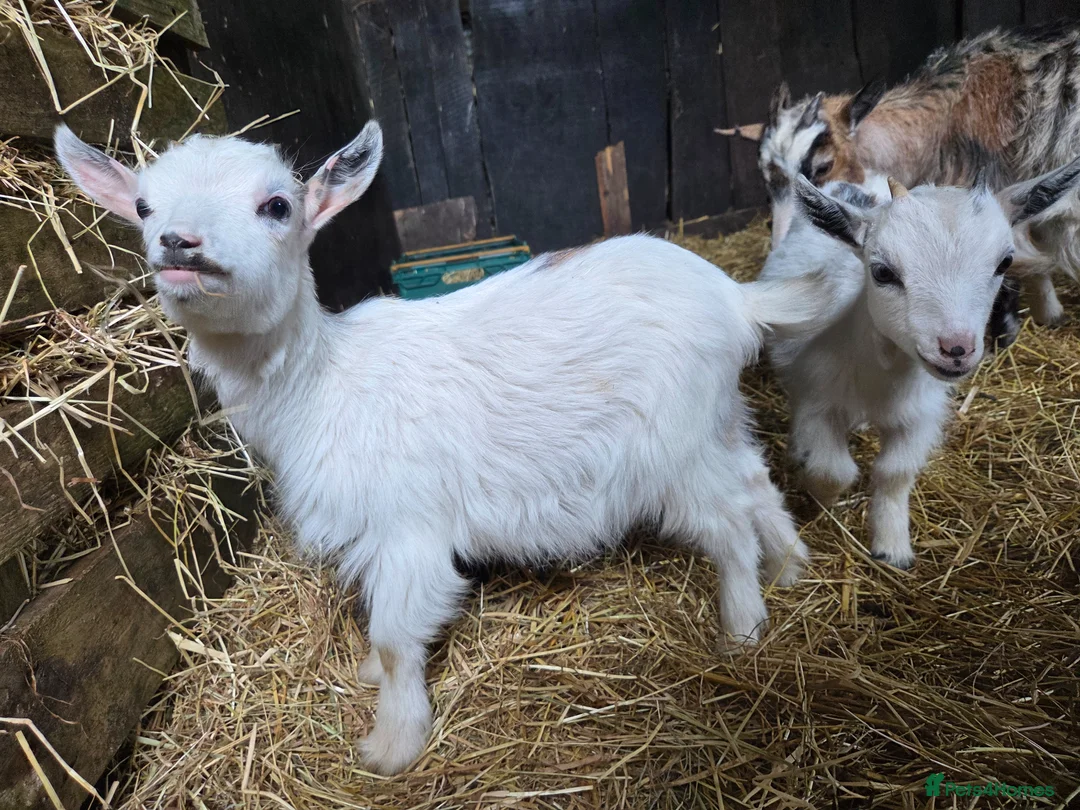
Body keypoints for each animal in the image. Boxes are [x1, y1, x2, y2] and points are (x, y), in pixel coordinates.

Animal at [55, 122, 832, 775]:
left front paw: (392, 746)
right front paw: (373, 685)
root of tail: (737, 298)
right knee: (755, 482)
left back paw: (742, 628)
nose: (179, 245)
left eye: (276, 205)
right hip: (716, 420)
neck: (322, 386)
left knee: (726, 523)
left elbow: (398, 638)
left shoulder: (408, 529)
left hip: (671, 448)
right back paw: (792, 568)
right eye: (144, 207)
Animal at [737, 23, 1080, 345]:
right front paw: (1050, 314)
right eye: (764, 175)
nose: (780, 248)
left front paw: (1005, 335)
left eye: (823, 166)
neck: (948, 120)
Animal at [760, 160, 1080, 568]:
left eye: (1004, 262)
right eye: (882, 272)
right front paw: (820, 498)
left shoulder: (920, 416)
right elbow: (832, 469)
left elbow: (894, 473)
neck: (880, 381)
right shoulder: (815, 400)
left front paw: (892, 548)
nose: (955, 348)